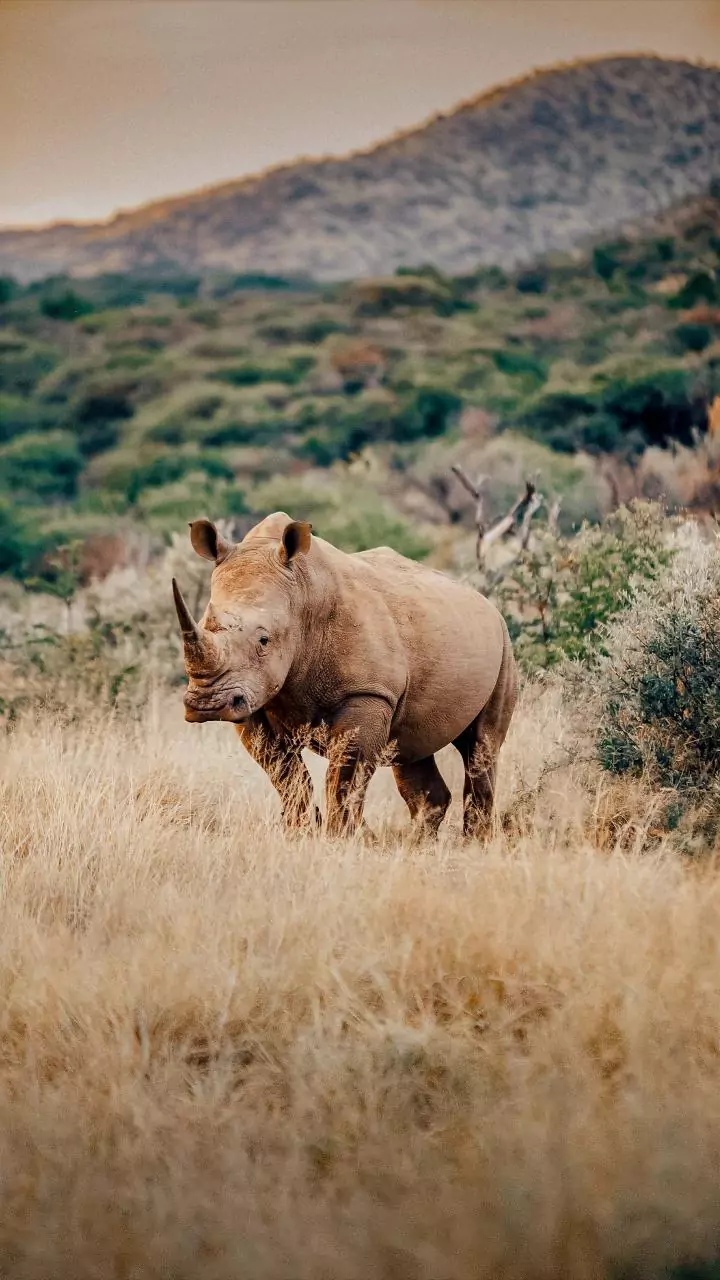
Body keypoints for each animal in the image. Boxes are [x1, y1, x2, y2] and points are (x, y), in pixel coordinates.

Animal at [172, 512, 517, 838]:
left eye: (264, 640)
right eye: (204, 625)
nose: (207, 704)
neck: (302, 596)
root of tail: (484, 601)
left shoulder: (367, 693)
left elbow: (343, 778)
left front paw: (338, 840)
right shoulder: (253, 700)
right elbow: (286, 776)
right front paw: (301, 835)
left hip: (503, 645)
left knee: (482, 747)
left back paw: (474, 842)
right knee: (411, 751)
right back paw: (417, 845)